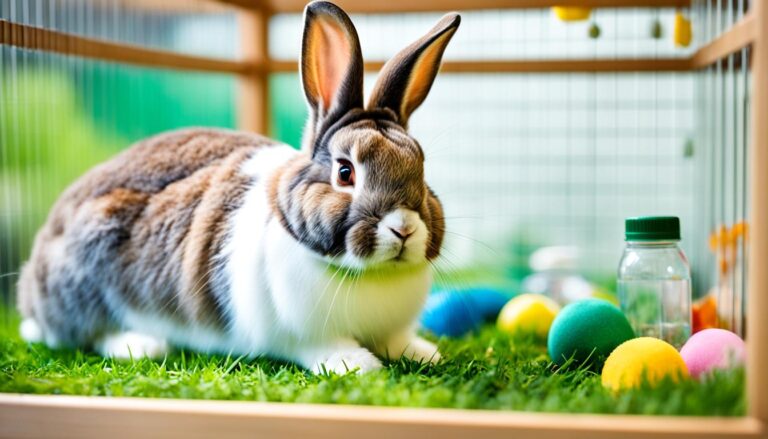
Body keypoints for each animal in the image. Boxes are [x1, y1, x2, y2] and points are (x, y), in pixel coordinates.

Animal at [16, 1, 460, 374]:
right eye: (345, 173)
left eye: (421, 168)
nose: (403, 228)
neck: (366, 274)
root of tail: (30, 292)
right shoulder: (301, 335)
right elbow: (327, 347)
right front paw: (358, 365)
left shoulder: (388, 328)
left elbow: (396, 339)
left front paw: (425, 353)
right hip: (86, 272)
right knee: (81, 334)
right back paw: (140, 345)